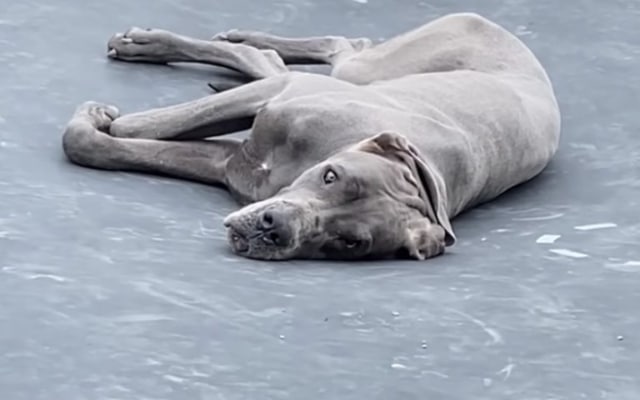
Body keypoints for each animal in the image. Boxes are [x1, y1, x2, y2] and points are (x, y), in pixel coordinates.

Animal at [61, 12, 560, 260]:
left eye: (349, 243)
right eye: (331, 177)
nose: (273, 228)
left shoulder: (232, 166)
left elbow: (113, 144)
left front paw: (95, 126)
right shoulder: (274, 104)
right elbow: (137, 128)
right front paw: (102, 116)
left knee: (277, 59)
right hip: (360, 70)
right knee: (337, 46)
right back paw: (158, 43)